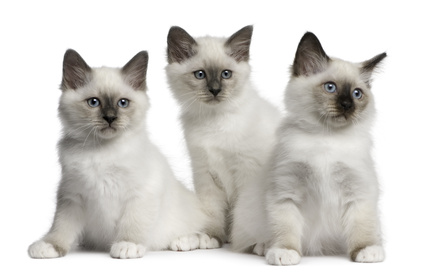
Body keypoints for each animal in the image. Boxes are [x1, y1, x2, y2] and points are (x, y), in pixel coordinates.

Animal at [28, 48, 217, 258]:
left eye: (123, 103)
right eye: (94, 102)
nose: (110, 118)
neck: (101, 151)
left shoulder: (140, 194)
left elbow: (132, 223)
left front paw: (127, 246)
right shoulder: (72, 196)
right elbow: (61, 227)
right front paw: (49, 246)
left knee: (203, 233)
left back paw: (185, 241)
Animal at [166, 24, 282, 243]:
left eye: (226, 74)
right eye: (200, 75)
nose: (215, 90)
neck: (215, 121)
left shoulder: (247, 170)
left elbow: (246, 212)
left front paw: (252, 242)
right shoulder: (205, 173)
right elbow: (212, 212)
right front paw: (209, 238)